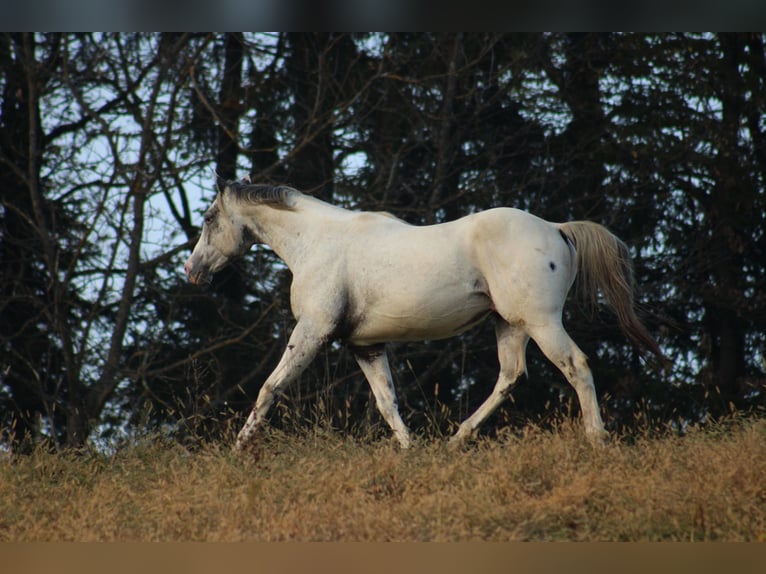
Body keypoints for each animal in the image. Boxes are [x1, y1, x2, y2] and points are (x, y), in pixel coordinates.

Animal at [184, 177, 664, 454]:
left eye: (208, 218)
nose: (192, 271)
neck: (317, 242)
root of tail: (559, 230)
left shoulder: (313, 332)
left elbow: (271, 387)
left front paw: (238, 449)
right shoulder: (365, 345)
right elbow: (387, 402)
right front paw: (409, 450)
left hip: (543, 323)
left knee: (576, 366)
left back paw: (597, 440)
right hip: (510, 324)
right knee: (510, 376)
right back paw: (456, 440)